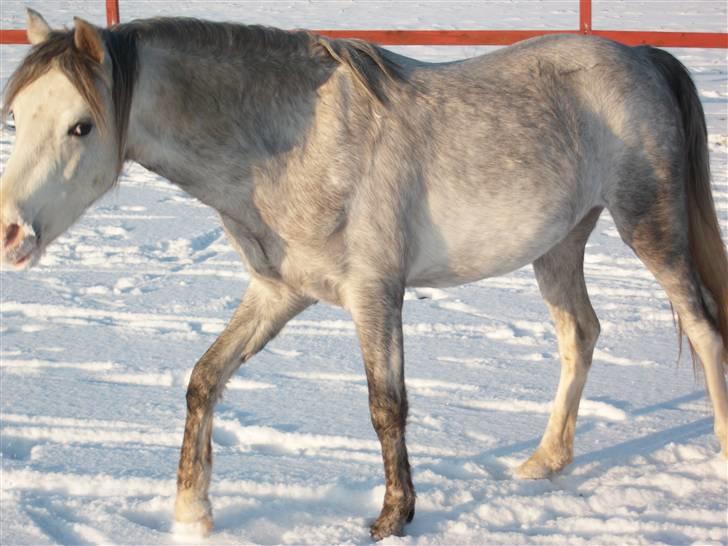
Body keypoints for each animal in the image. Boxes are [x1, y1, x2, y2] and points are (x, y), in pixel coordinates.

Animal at [1, 9, 726, 540]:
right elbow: (204, 379)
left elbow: (386, 408)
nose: (11, 234)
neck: (296, 142)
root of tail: (643, 55)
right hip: (559, 244)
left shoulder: (375, 294)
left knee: (705, 330)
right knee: (580, 335)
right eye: (17, 117)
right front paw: (191, 512)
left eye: (80, 126)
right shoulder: (278, 294)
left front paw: (392, 518)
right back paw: (545, 462)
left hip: (649, 227)